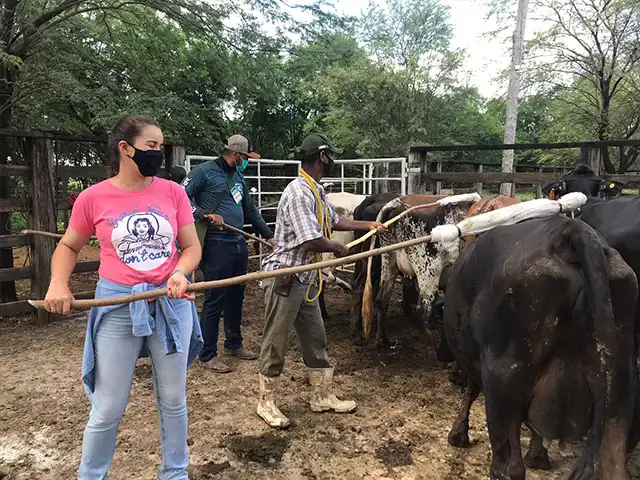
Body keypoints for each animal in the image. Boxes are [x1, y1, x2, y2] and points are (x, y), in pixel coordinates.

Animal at [442, 215, 636, 480]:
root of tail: (569, 232)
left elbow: (470, 390)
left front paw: (457, 434)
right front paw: (538, 454)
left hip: (503, 381)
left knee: (508, 467)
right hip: (617, 394)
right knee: (613, 465)